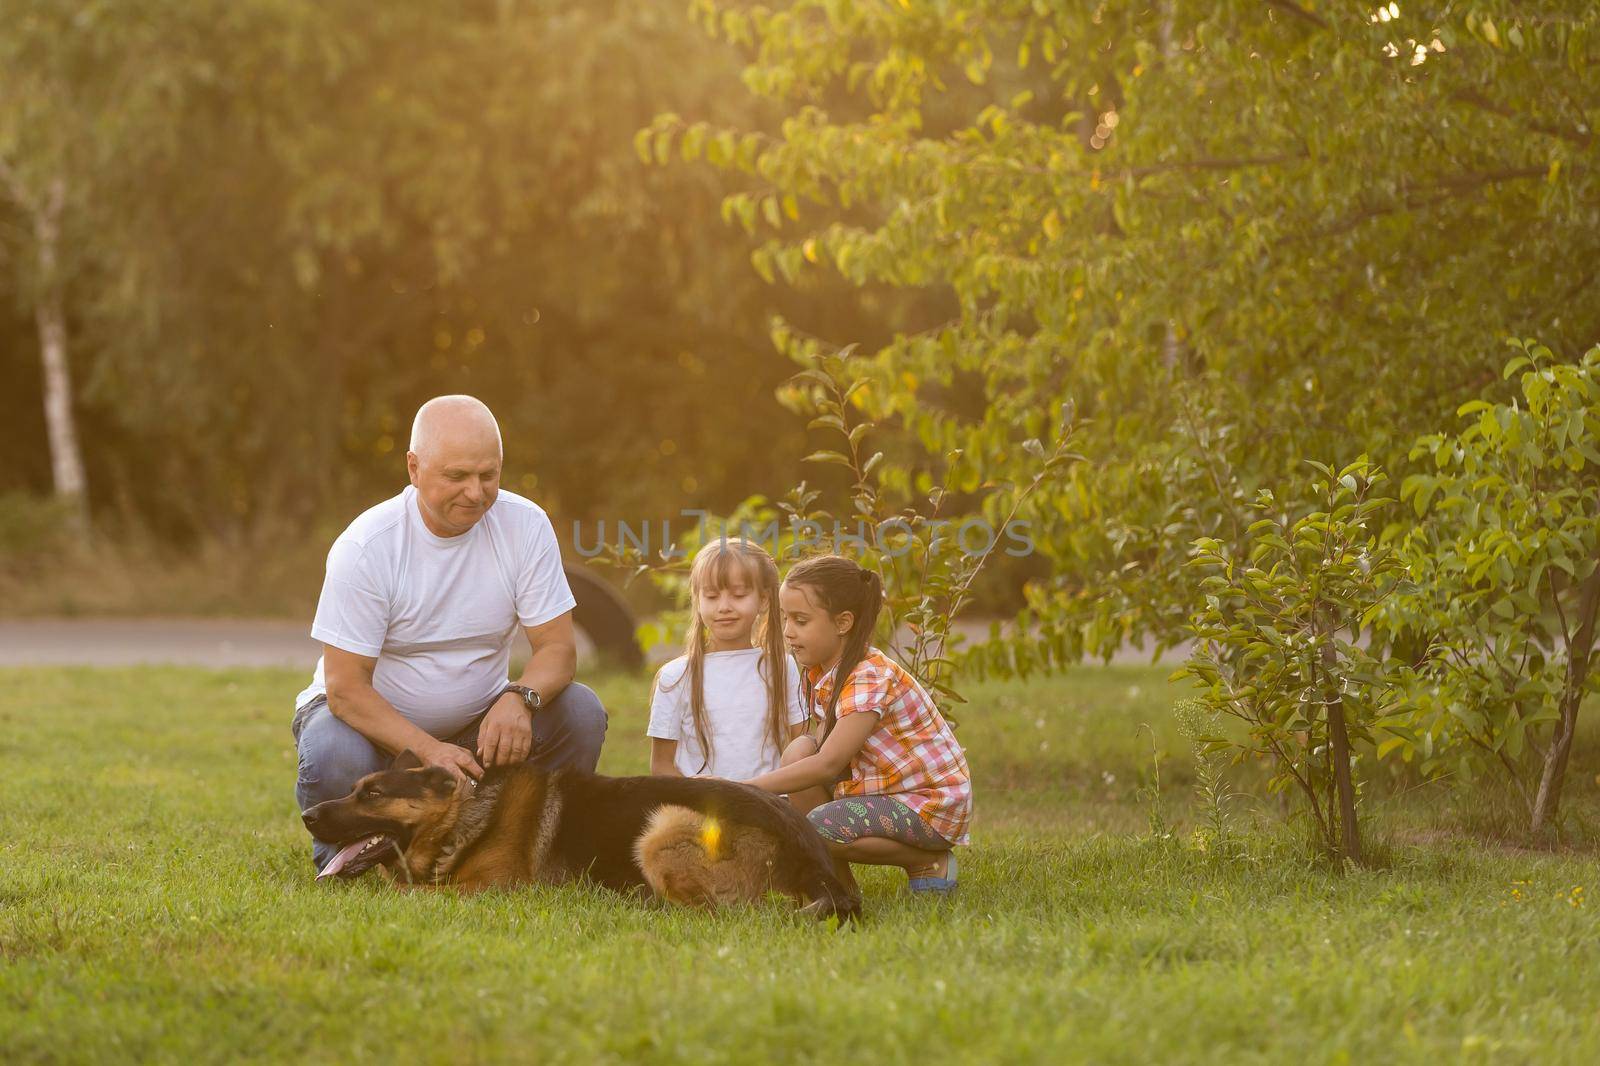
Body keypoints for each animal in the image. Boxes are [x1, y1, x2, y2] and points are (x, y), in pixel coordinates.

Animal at [300, 752, 864, 915]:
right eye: (354, 790)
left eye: (372, 795)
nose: (308, 817)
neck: (463, 818)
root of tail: (814, 859)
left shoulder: (495, 888)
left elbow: (408, 892)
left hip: (661, 825)